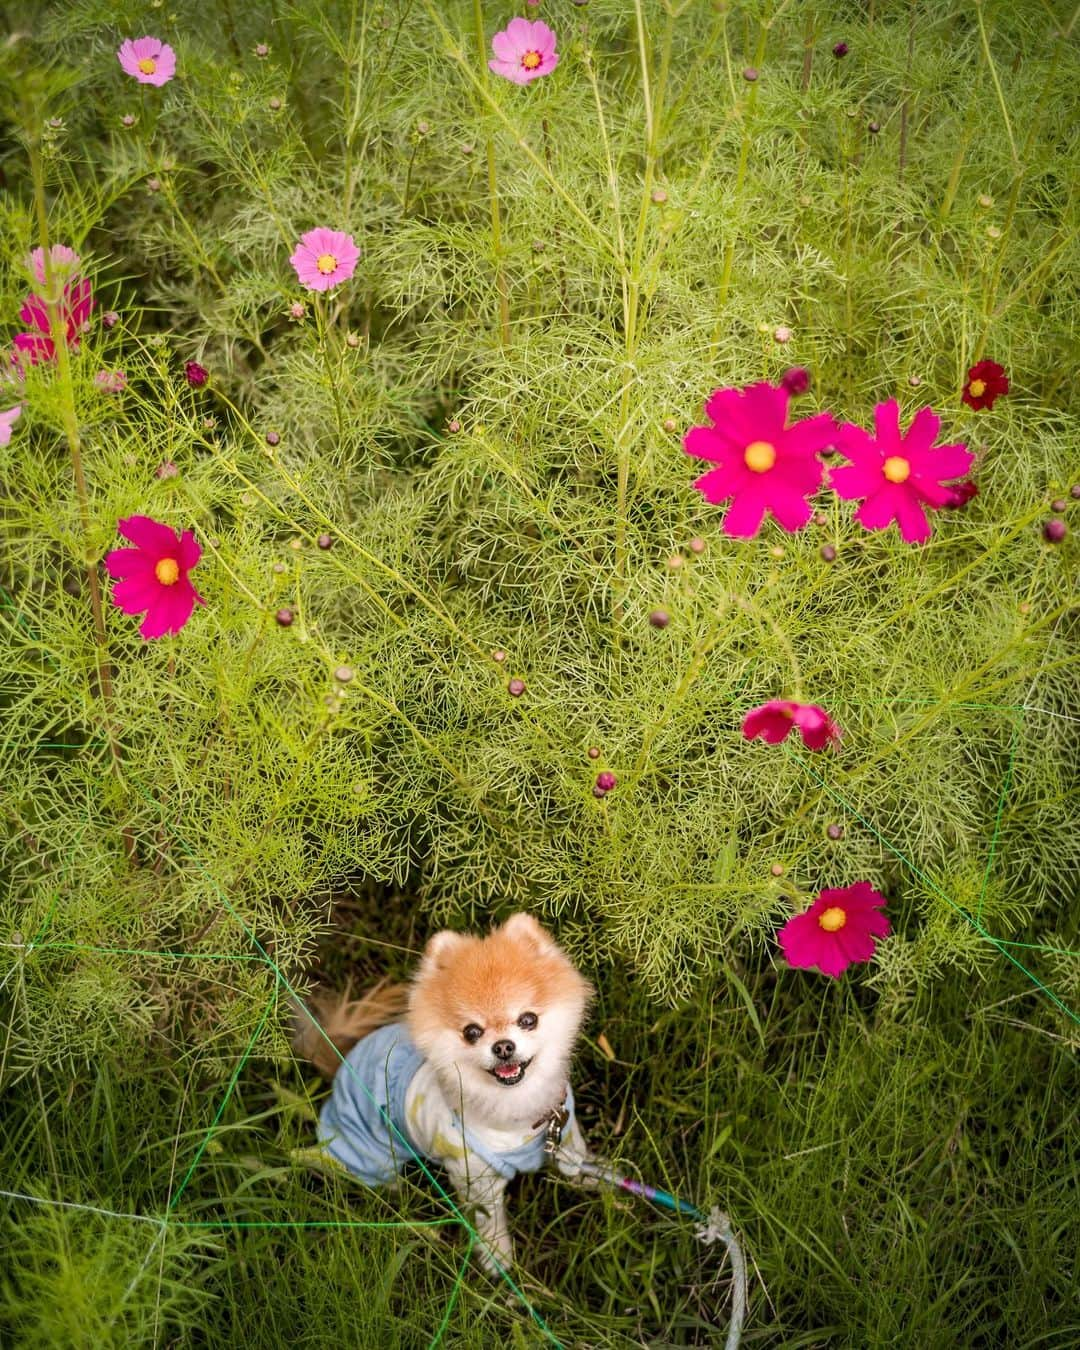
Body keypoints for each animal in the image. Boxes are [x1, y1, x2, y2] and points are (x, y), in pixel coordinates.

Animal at [295, 912, 594, 1269]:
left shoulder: (566, 1132)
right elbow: (489, 1220)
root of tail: (342, 1060)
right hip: (366, 1150)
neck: (517, 1113)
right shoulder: (475, 1178)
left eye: (528, 1019)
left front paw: (602, 1184)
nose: (503, 1047)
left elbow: (579, 1162)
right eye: (472, 1032)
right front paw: (497, 1258)